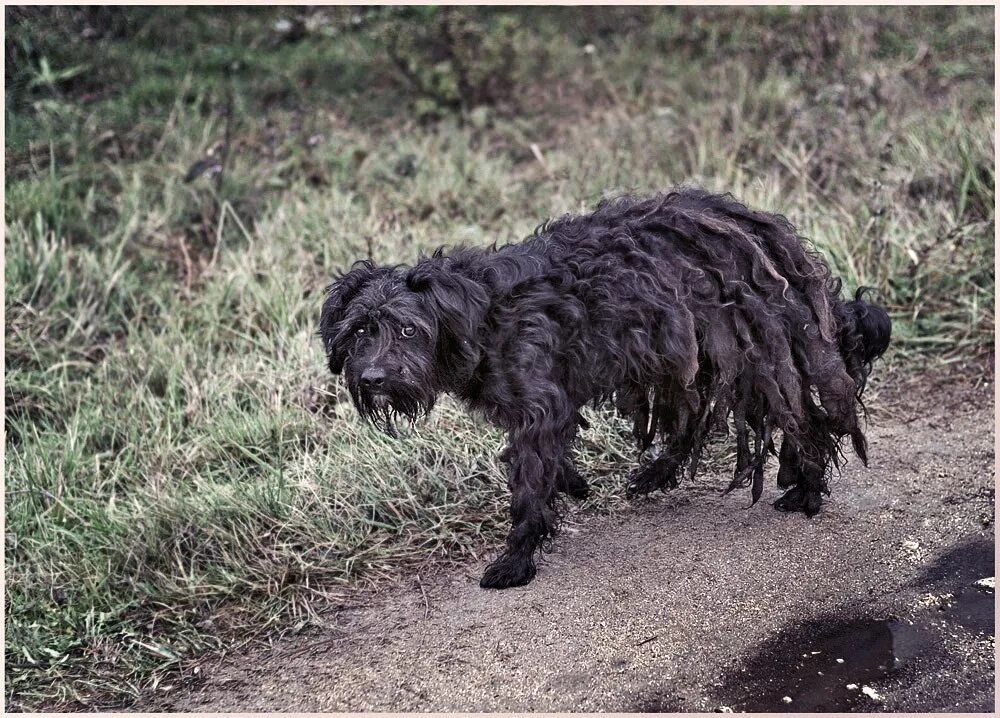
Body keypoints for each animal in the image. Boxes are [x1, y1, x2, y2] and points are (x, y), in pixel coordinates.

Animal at [318, 188, 892, 592]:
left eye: (408, 329)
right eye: (359, 331)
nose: (371, 379)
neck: (477, 314)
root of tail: (784, 245)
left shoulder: (539, 403)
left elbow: (529, 485)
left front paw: (516, 558)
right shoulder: (548, 400)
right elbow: (550, 457)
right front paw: (572, 485)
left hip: (753, 356)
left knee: (801, 422)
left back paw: (807, 490)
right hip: (689, 357)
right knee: (696, 422)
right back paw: (657, 475)